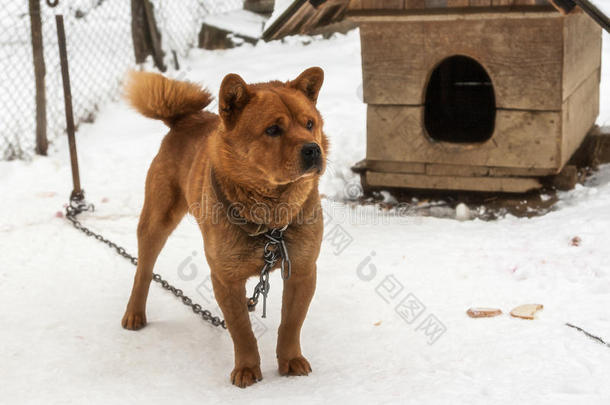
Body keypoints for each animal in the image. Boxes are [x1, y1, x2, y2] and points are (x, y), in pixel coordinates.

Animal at [120, 68, 326, 386]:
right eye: (273, 130)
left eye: (309, 123)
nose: (313, 150)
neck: (271, 219)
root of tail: (184, 120)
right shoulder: (226, 277)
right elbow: (242, 330)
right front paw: (247, 369)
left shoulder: (302, 269)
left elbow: (291, 324)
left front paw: (290, 361)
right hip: (157, 221)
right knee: (143, 270)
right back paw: (134, 313)